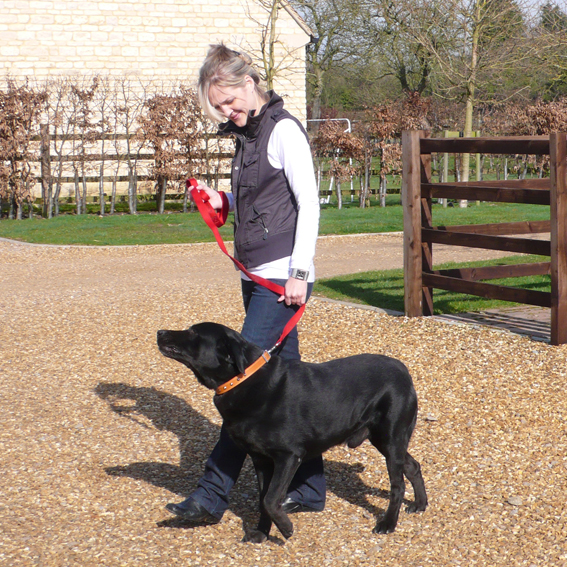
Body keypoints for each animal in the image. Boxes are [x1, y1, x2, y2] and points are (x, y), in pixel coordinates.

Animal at [158, 324, 428, 540]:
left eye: (193, 333)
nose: (160, 332)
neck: (243, 381)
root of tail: (403, 370)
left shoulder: (288, 456)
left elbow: (270, 500)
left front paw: (285, 528)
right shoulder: (260, 459)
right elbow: (263, 499)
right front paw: (262, 533)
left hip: (390, 439)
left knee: (397, 485)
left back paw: (388, 524)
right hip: (385, 440)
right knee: (413, 466)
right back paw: (420, 504)